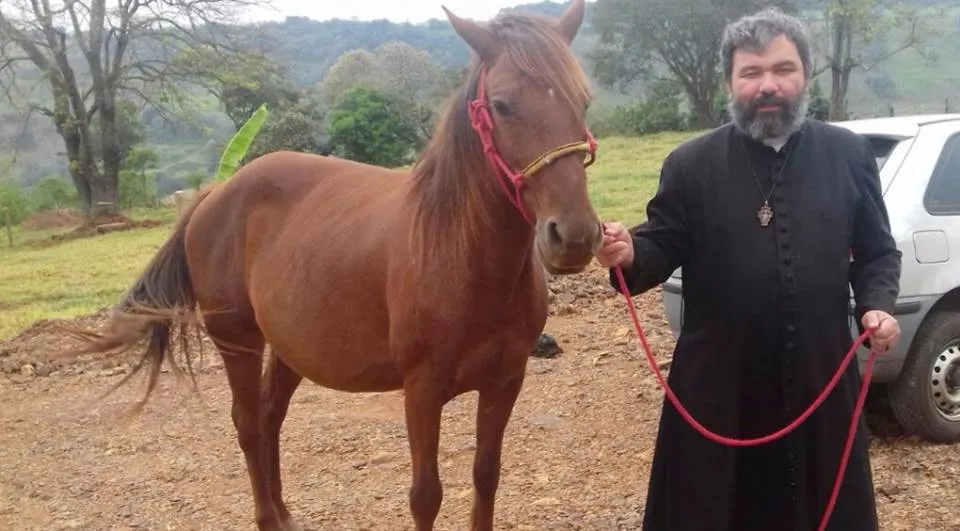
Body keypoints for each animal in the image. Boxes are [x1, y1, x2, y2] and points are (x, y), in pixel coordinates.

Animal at [60, 2, 600, 528]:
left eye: (584, 101)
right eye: (502, 105)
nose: (573, 236)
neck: (460, 254)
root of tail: (216, 193)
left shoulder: (506, 382)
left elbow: (486, 477)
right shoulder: (421, 391)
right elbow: (425, 496)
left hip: (289, 346)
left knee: (270, 414)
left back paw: (284, 513)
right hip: (238, 340)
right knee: (248, 424)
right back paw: (268, 518)